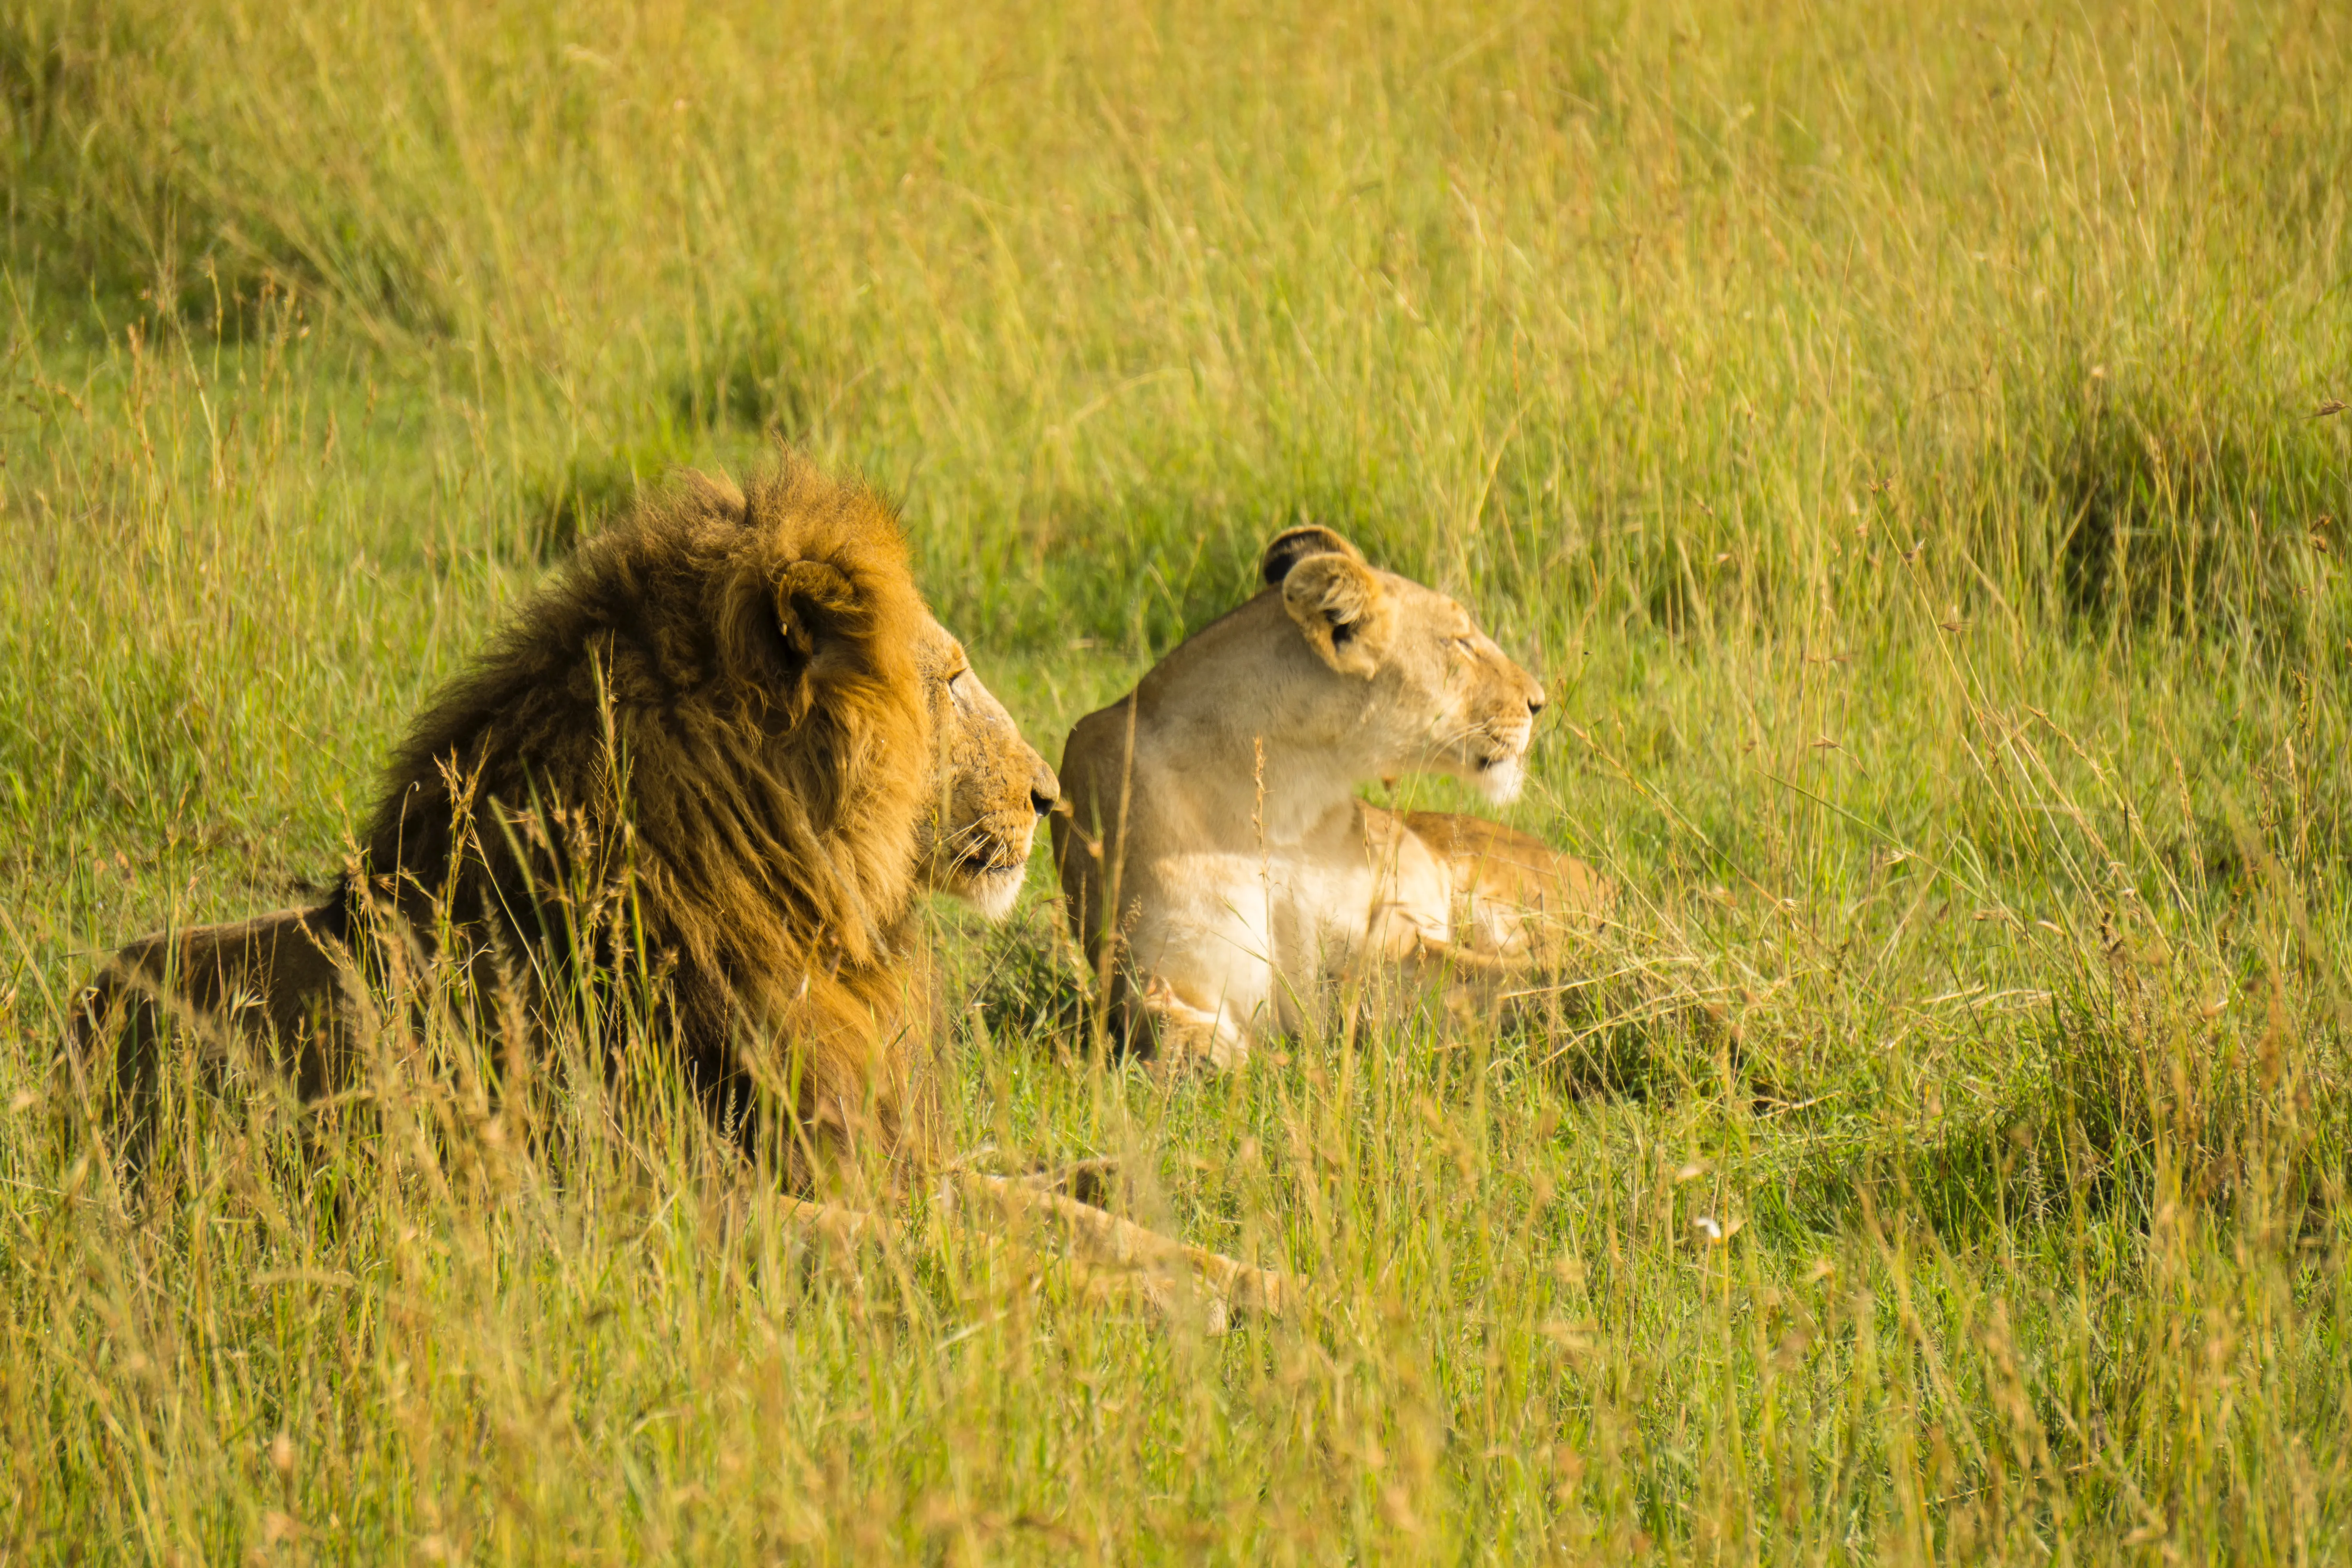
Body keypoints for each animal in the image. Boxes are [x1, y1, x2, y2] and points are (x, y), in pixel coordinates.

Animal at [1058, 526, 1609, 1067]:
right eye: (1461, 643)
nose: (1539, 702)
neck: (1281, 801)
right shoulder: (1157, 977)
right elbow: (1182, 1040)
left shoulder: (1387, 950)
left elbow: (1537, 978)